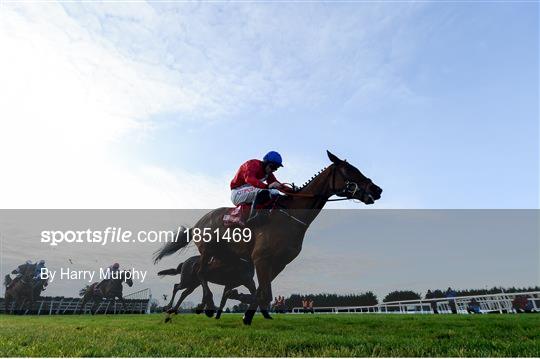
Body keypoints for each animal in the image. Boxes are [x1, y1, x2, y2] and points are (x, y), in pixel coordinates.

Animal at [152, 150, 382, 324]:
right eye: (350, 170)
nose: (377, 189)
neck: (290, 216)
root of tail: (198, 223)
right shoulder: (261, 258)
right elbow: (263, 293)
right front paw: (241, 302)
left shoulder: (279, 262)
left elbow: (263, 291)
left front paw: (248, 313)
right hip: (208, 250)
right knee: (199, 274)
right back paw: (204, 305)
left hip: (223, 254)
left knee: (203, 275)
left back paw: (198, 306)